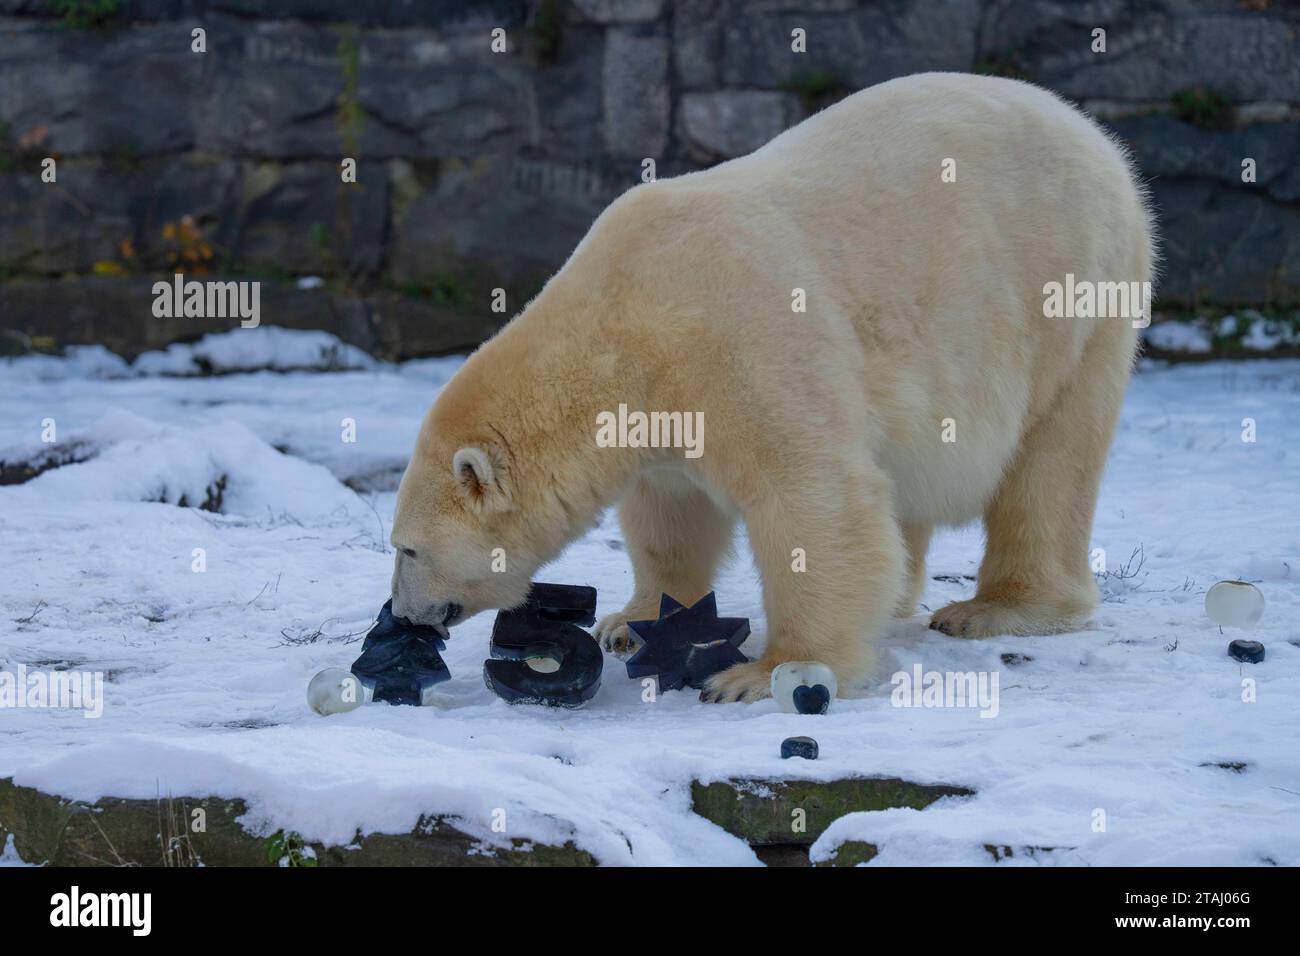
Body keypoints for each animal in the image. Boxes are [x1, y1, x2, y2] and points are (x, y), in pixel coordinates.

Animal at [387, 72, 1159, 702]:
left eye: (407, 550)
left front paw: (766, 672)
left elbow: (813, 499)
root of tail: (1098, 139)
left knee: (1051, 462)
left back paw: (996, 608)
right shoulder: (660, 412)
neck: (622, 324)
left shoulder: (740, 344)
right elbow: (671, 516)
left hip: (1074, 298)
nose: (402, 613)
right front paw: (628, 622)